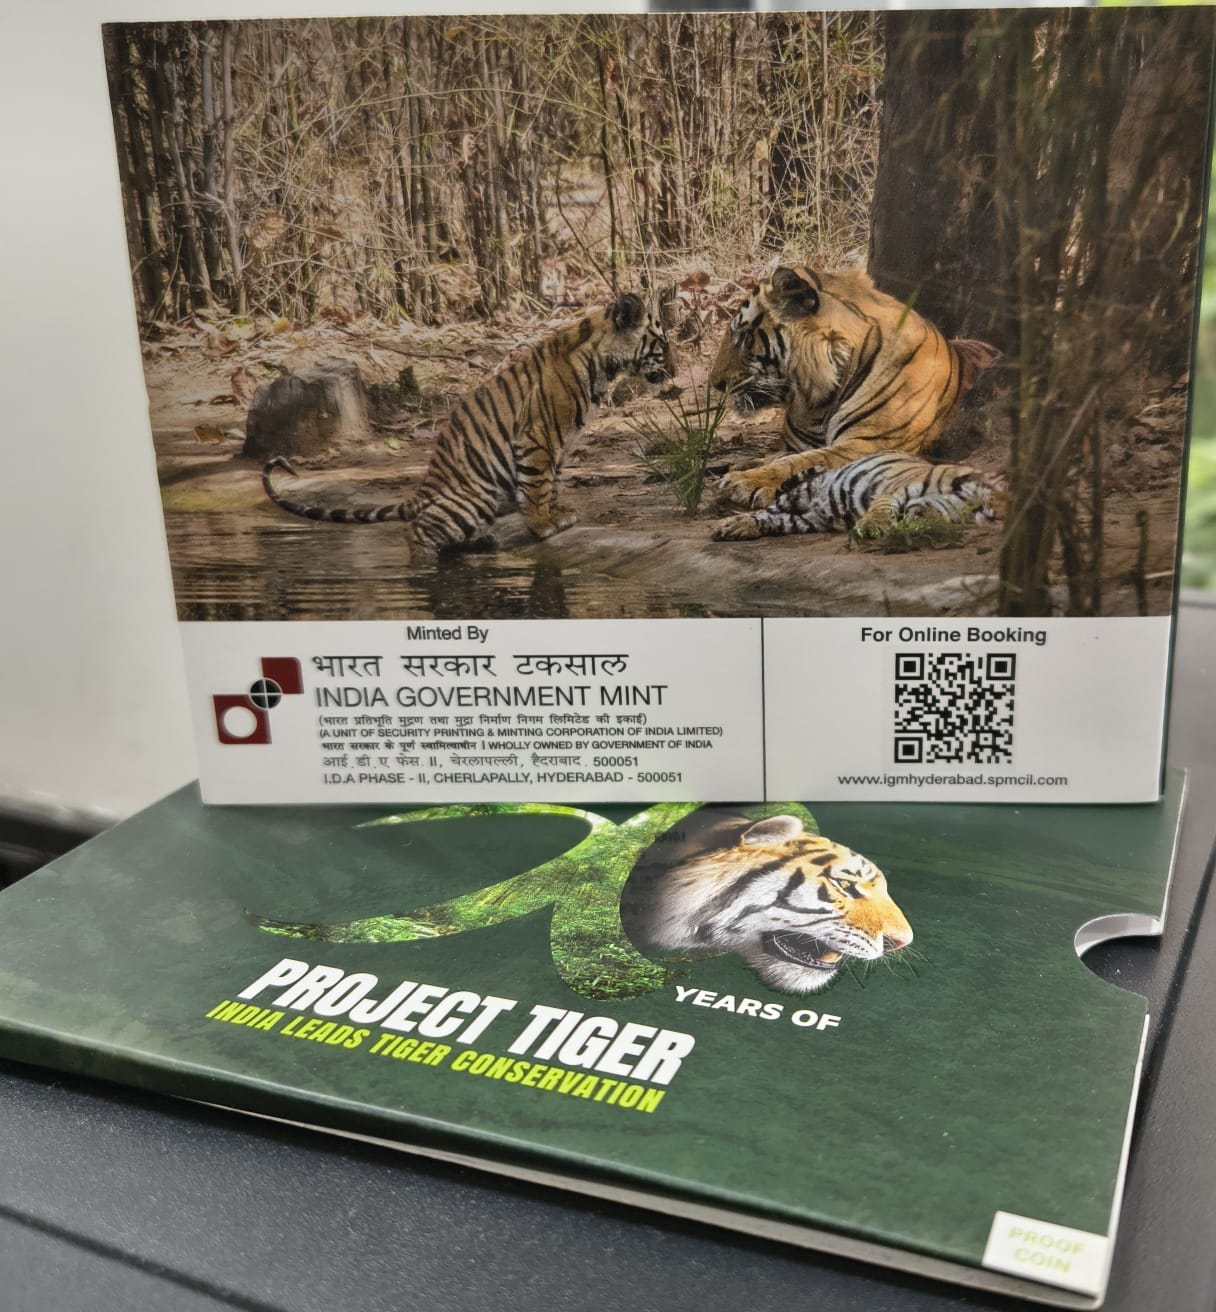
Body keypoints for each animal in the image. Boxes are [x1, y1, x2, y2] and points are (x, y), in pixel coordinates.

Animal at [262, 293, 673, 560]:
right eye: (662, 346)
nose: (676, 369)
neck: (603, 366)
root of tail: (426, 487)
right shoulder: (537, 438)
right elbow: (538, 486)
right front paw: (543, 524)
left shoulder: (559, 444)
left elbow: (553, 483)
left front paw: (558, 513)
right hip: (474, 499)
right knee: (419, 529)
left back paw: (483, 544)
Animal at [710, 265, 1000, 509]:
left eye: (746, 337)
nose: (715, 383)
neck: (817, 401)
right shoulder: (791, 444)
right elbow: (782, 457)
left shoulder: (869, 446)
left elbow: (804, 460)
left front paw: (745, 481)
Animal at [712, 450, 1006, 541]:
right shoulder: (896, 488)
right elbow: (881, 508)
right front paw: (872, 526)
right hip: (799, 495)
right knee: (766, 512)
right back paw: (733, 524)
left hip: (804, 520)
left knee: (774, 520)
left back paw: (737, 527)